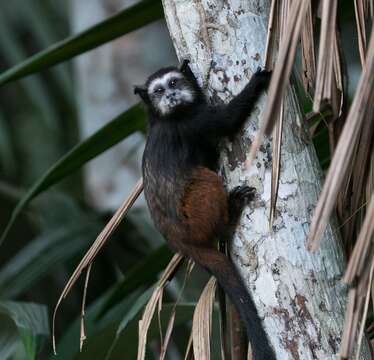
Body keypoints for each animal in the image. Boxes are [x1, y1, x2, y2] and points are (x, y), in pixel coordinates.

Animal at [134, 60, 274, 358]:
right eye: (159, 91)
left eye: (174, 83)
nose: (171, 96)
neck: (163, 118)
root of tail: (180, 242)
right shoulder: (190, 123)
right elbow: (227, 121)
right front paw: (257, 82)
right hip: (195, 220)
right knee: (206, 180)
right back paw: (228, 219)